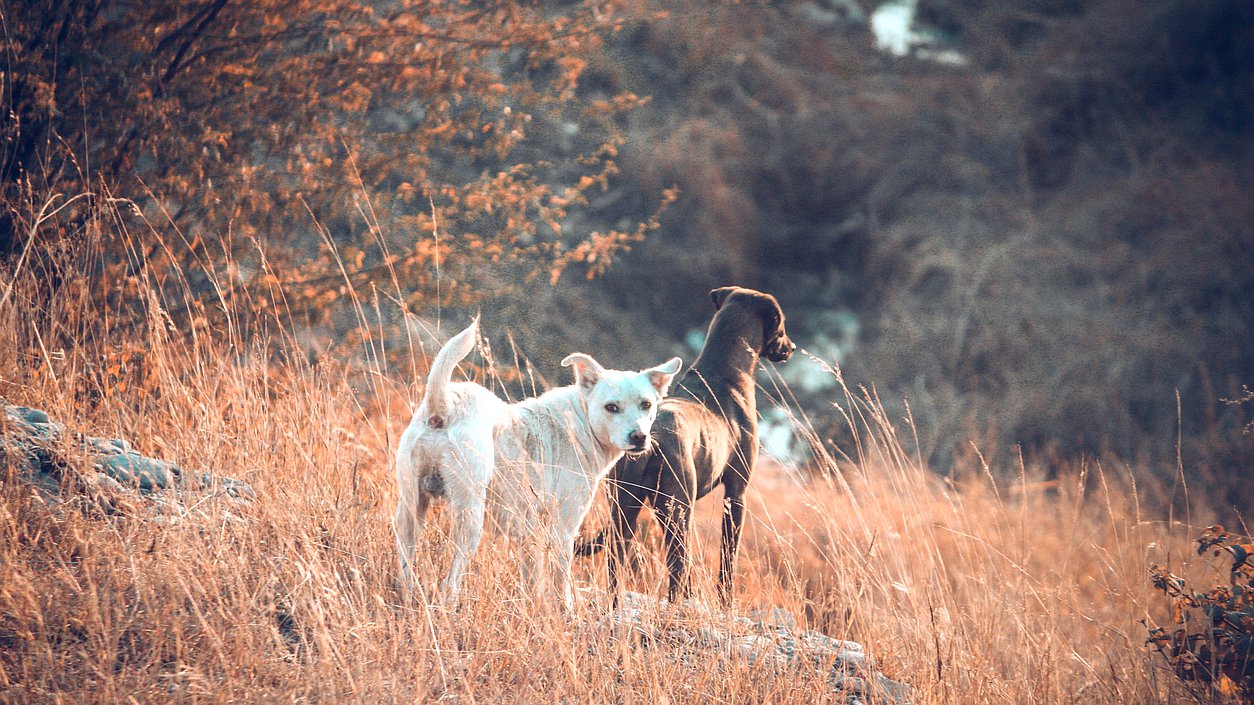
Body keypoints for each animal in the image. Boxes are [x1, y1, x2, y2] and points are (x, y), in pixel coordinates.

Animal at [396, 316, 682, 607]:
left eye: (646, 404)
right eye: (611, 407)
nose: (639, 437)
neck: (578, 423)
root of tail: (443, 406)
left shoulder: (529, 534)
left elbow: (533, 578)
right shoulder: (563, 528)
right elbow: (560, 580)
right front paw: (565, 609)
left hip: (410, 510)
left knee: (406, 566)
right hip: (469, 516)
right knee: (451, 581)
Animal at [576, 282, 792, 602]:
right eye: (781, 324)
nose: (791, 348)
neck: (725, 374)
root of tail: (646, 442)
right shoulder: (736, 493)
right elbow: (727, 558)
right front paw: (725, 601)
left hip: (626, 510)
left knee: (619, 567)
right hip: (678, 511)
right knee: (677, 571)